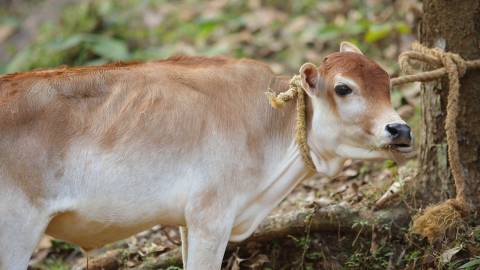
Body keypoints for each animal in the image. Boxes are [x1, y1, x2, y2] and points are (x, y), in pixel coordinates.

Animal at [0, 42, 412, 270]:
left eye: (388, 82)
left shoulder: (189, 221)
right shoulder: (210, 217)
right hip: (16, 231)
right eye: (344, 88)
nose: (401, 130)